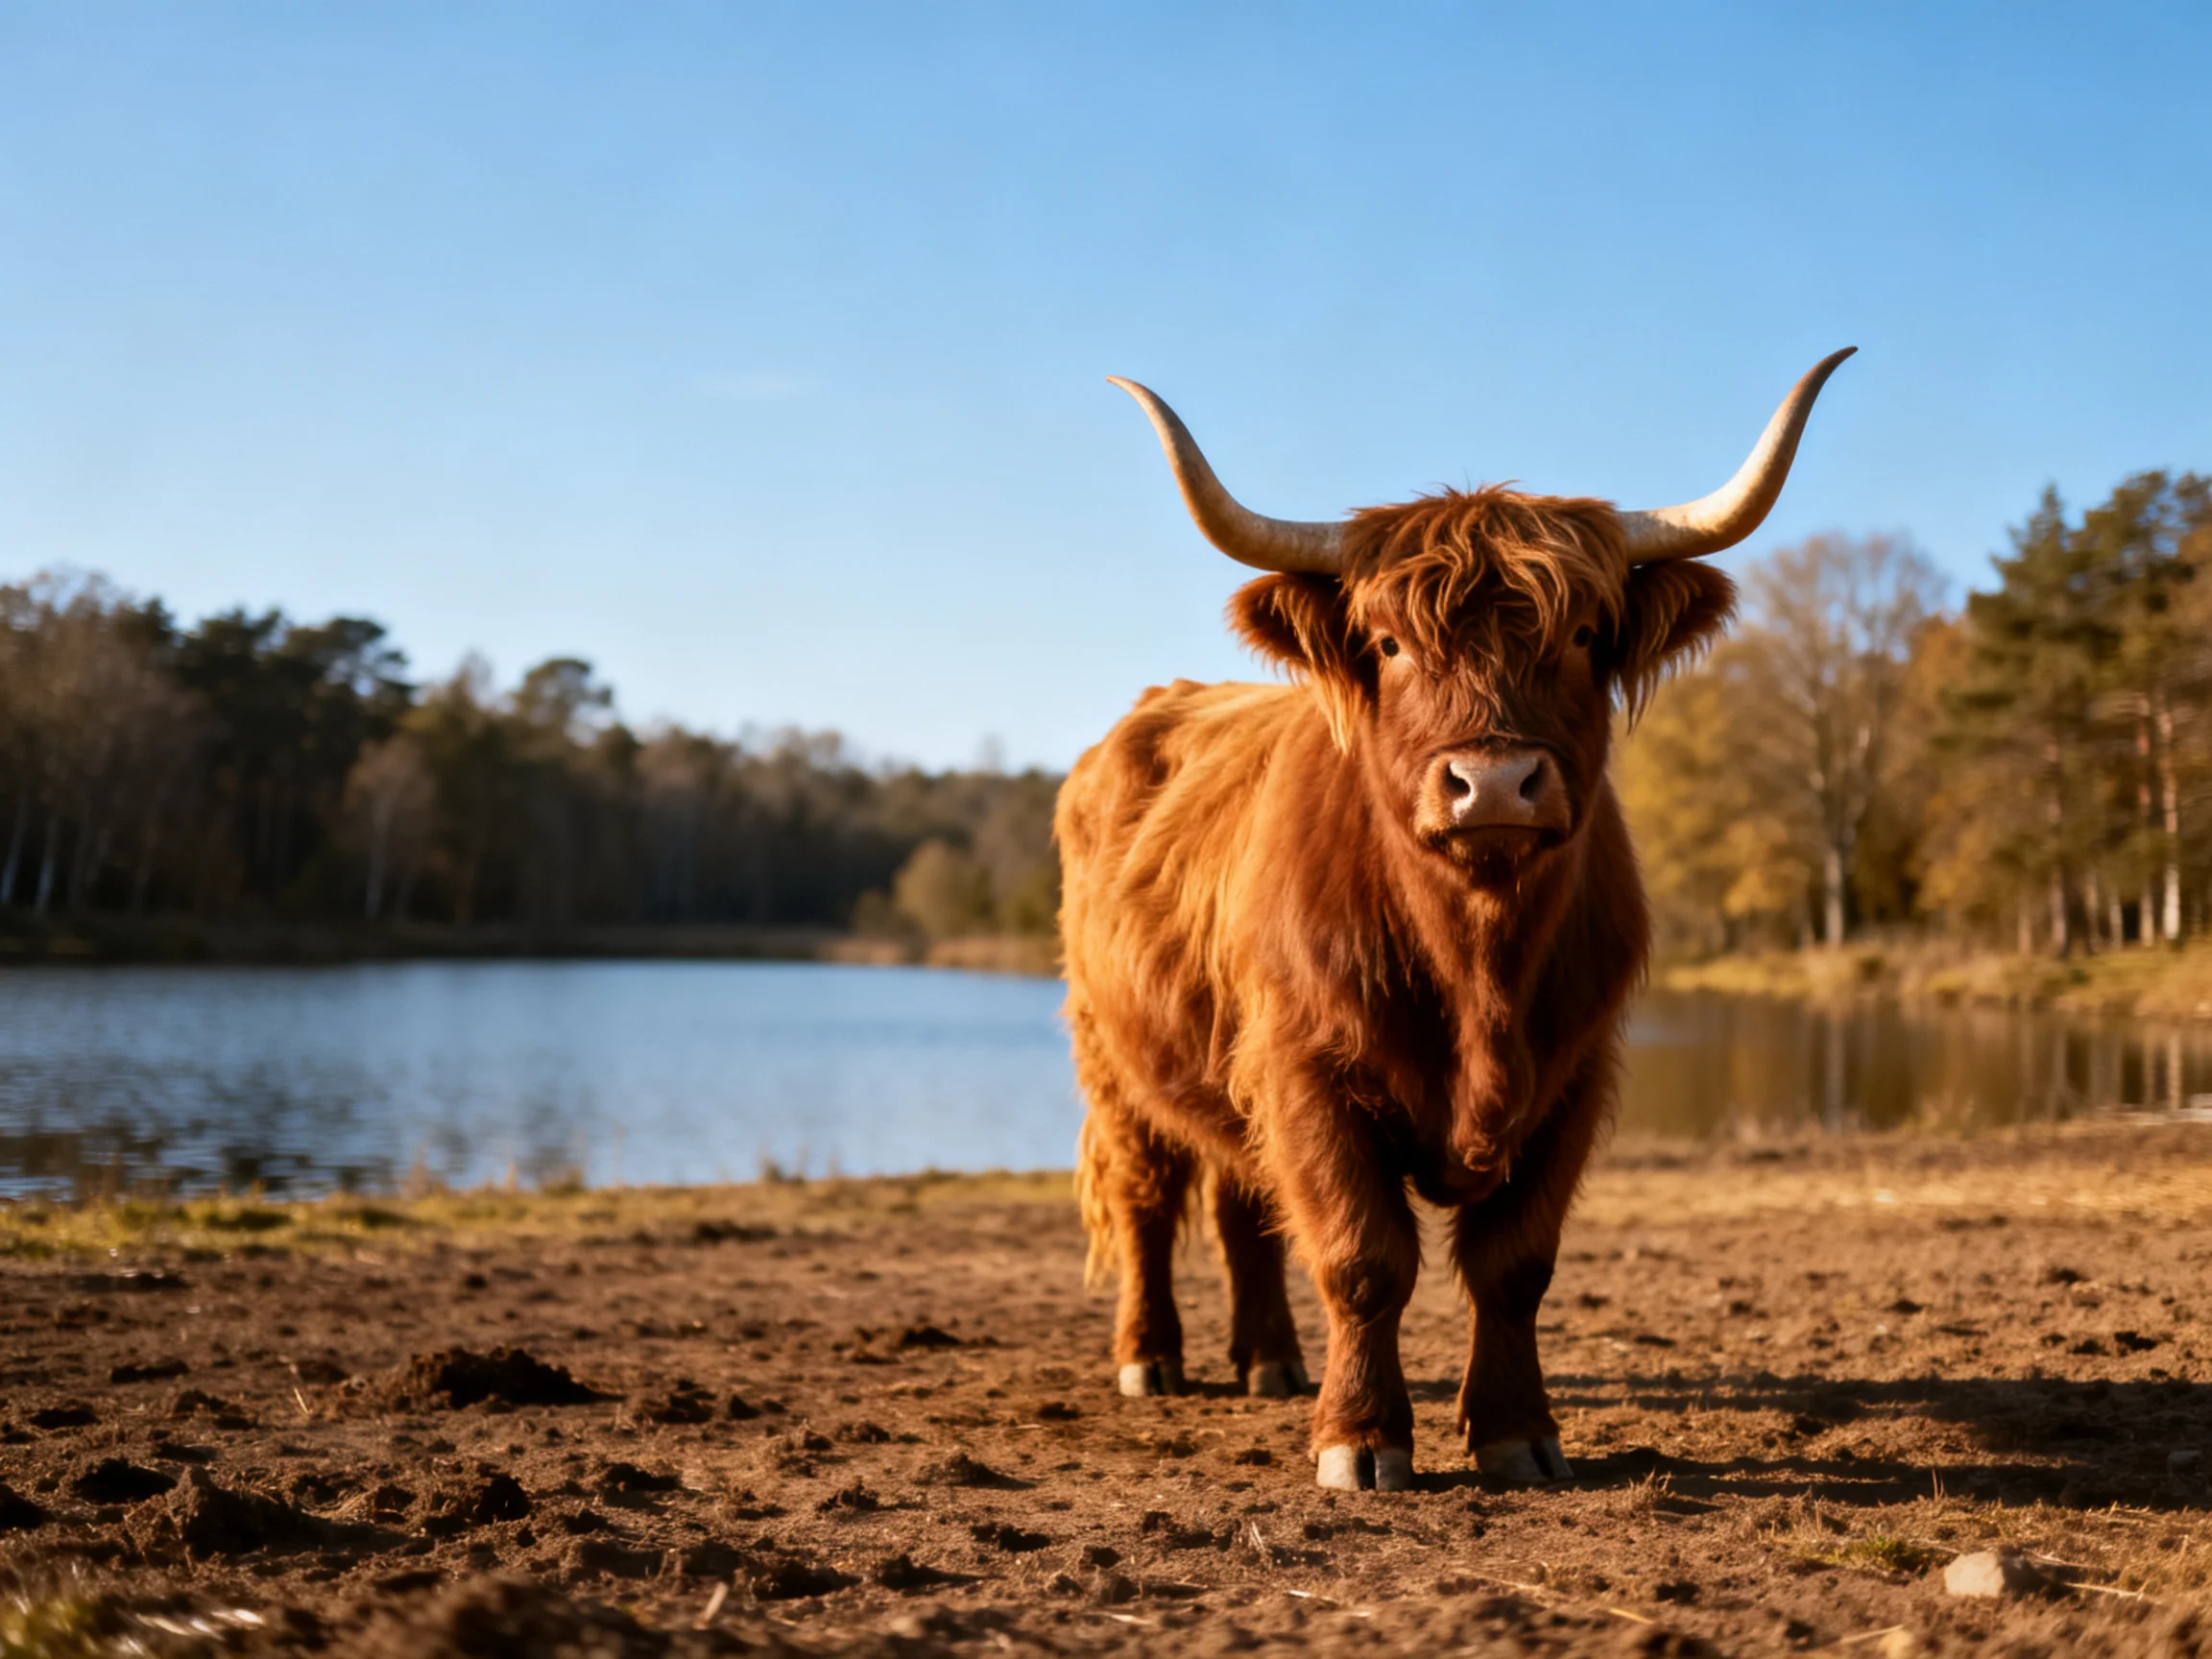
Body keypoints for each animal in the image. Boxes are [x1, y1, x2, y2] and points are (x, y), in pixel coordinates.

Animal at [1057, 351, 1852, 1490]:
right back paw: (1151, 1360)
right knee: (1148, 1199)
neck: (1478, 958)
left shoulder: (1573, 1074)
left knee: (1243, 1208)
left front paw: (1518, 1434)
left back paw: (1270, 1363)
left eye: (1581, 635)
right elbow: (1361, 1257)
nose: (1495, 784)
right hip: (1115, 1064)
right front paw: (1361, 1441)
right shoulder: (1306, 1069)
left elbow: (1514, 1263)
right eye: (1389, 644)